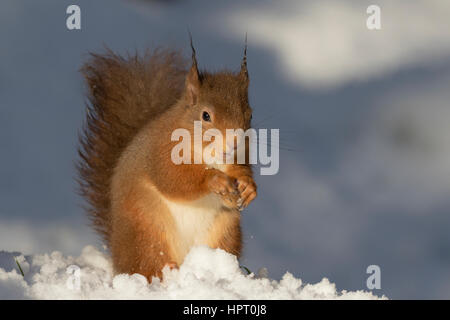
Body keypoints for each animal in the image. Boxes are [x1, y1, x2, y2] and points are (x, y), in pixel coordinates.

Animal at [77, 40, 256, 282]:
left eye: (250, 115)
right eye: (205, 115)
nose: (235, 143)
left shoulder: (237, 158)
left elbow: (241, 170)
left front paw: (248, 187)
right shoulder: (161, 153)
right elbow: (174, 180)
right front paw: (215, 180)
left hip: (225, 233)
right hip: (147, 230)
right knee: (146, 264)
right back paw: (167, 271)